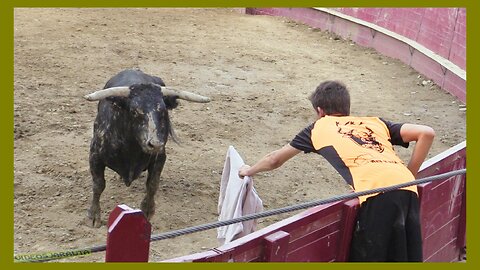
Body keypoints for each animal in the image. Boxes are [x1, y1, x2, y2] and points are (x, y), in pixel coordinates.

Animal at [84, 68, 210, 227]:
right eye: (134, 111)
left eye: (163, 111)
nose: (155, 144)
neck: (131, 149)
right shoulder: (95, 155)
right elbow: (98, 185)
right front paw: (93, 216)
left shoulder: (160, 158)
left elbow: (152, 185)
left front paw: (148, 210)